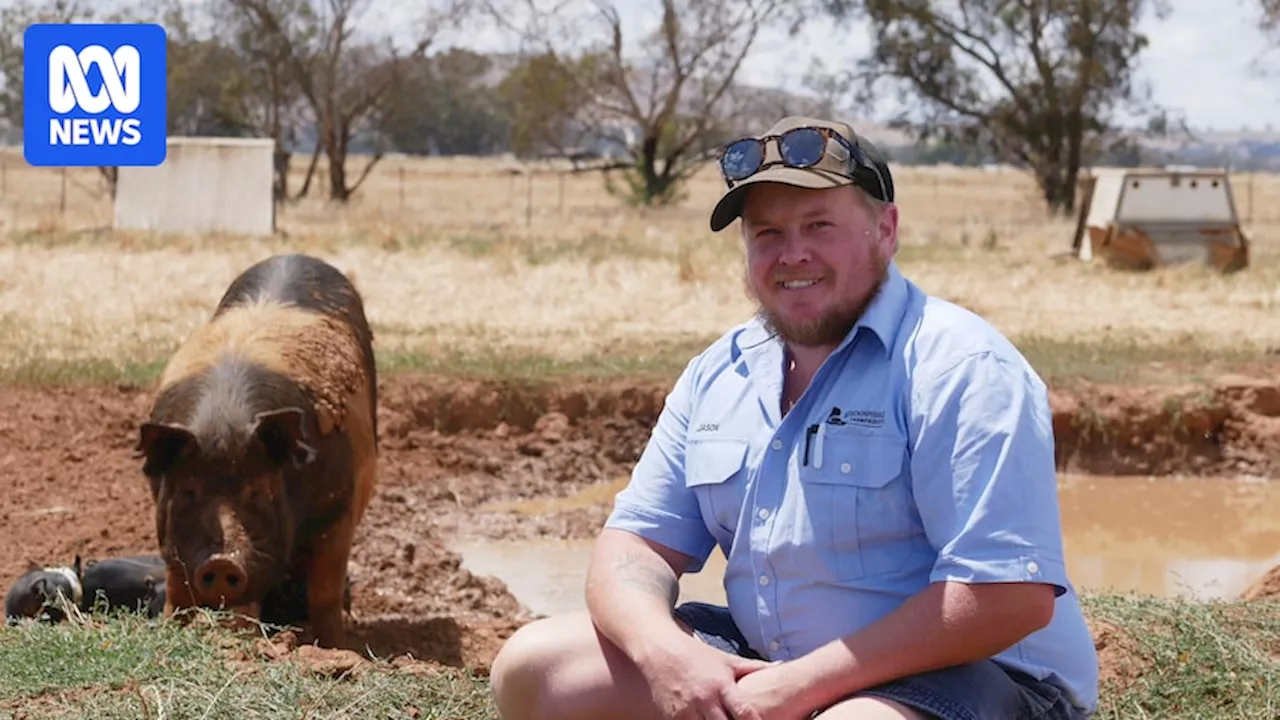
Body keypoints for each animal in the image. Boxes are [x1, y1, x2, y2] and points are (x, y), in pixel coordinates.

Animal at [134, 252, 376, 645]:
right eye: (188, 491)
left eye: (258, 491)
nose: (222, 562)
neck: (224, 420)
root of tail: (294, 256)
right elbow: (178, 587)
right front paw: (175, 630)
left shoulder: (339, 508)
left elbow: (324, 592)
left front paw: (335, 646)